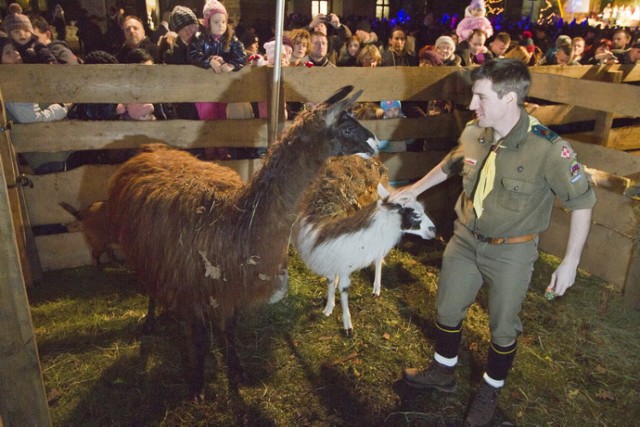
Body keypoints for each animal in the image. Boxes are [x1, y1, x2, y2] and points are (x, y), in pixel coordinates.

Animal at [107, 87, 378, 402]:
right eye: (346, 127)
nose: (375, 143)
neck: (238, 217)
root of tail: (148, 149)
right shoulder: (195, 286)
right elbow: (202, 339)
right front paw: (197, 385)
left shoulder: (232, 285)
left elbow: (230, 330)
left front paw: (237, 370)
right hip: (143, 250)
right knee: (149, 285)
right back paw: (149, 321)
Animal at [296, 159, 436, 336]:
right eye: (416, 214)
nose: (434, 230)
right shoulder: (329, 257)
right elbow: (330, 282)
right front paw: (328, 307)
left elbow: (344, 289)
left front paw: (347, 325)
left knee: (378, 260)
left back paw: (376, 289)